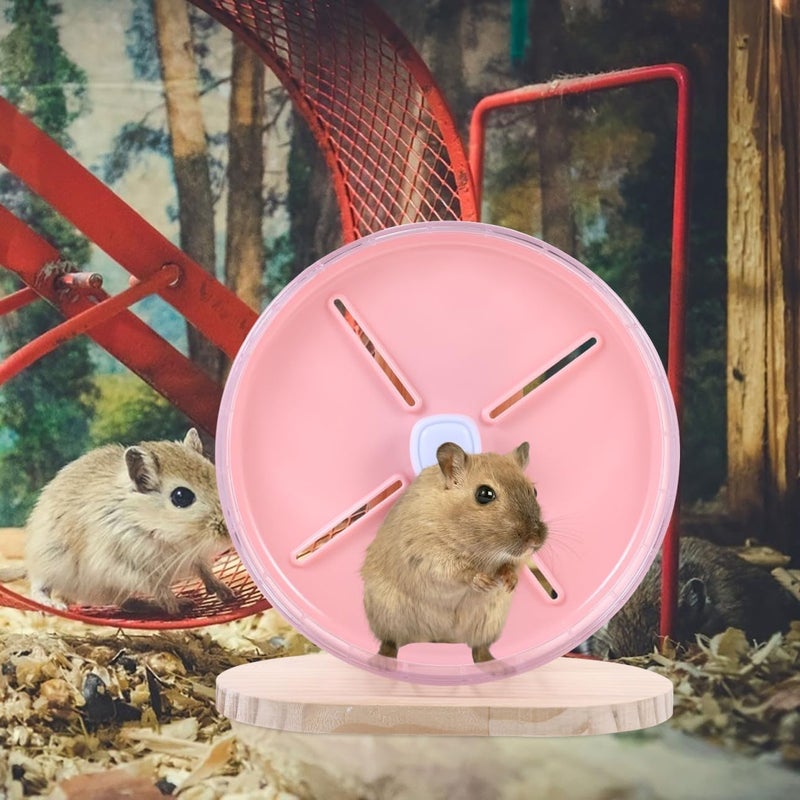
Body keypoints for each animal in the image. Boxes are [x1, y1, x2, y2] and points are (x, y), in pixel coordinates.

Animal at [15, 429, 234, 615]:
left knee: (126, 603)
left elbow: (205, 571)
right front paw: (174, 606)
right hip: (48, 560)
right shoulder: (122, 565)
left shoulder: (195, 556)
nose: (230, 536)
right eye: (181, 497)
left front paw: (227, 593)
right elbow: (157, 585)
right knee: (39, 586)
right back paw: (53, 605)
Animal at [361, 441, 548, 663]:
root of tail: (440, 639)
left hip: (488, 623)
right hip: (386, 616)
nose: (535, 540)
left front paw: (509, 583)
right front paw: (485, 582)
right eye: (484, 494)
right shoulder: (427, 553)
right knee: (390, 643)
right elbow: (459, 572)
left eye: (534, 491)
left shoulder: (515, 560)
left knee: (479, 648)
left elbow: (510, 566)